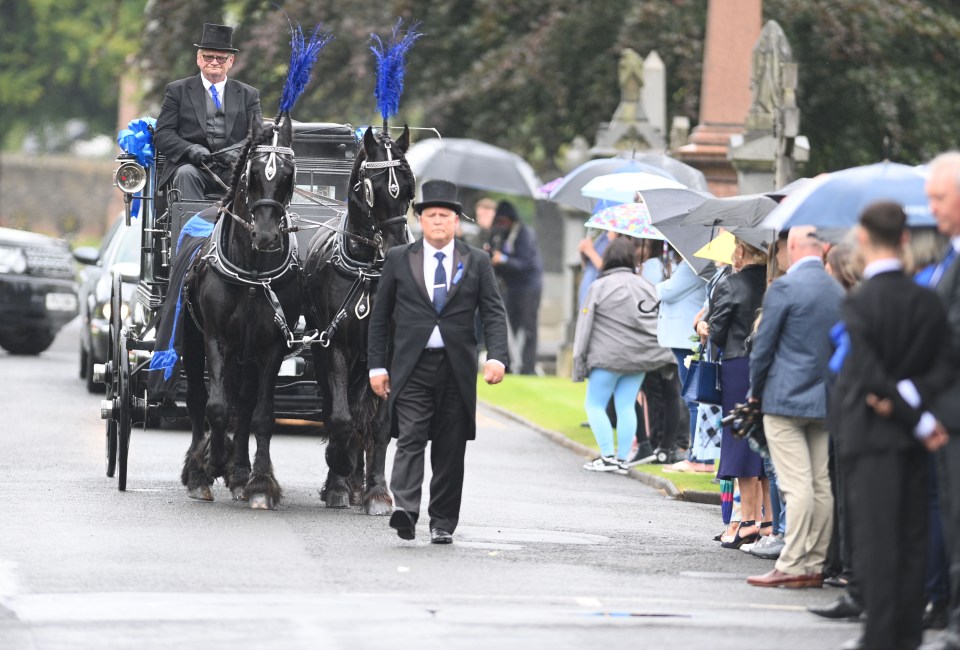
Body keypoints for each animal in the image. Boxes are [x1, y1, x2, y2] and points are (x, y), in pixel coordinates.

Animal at [180, 117, 300, 512]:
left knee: (244, 404)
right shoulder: (215, 338)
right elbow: (216, 407)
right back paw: (198, 470)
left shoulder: (273, 345)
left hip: (247, 354)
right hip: (191, 341)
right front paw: (212, 462)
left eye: (289, 175)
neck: (252, 273)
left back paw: (239, 472)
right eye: (252, 173)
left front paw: (259, 481)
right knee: (198, 400)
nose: (266, 236)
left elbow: (261, 414)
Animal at [304, 125, 412, 512]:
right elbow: (339, 417)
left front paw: (377, 491)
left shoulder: (389, 353)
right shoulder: (334, 345)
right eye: (371, 187)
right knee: (337, 409)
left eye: (408, 188)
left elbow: (379, 424)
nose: (397, 247)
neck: (368, 271)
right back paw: (343, 478)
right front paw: (338, 475)